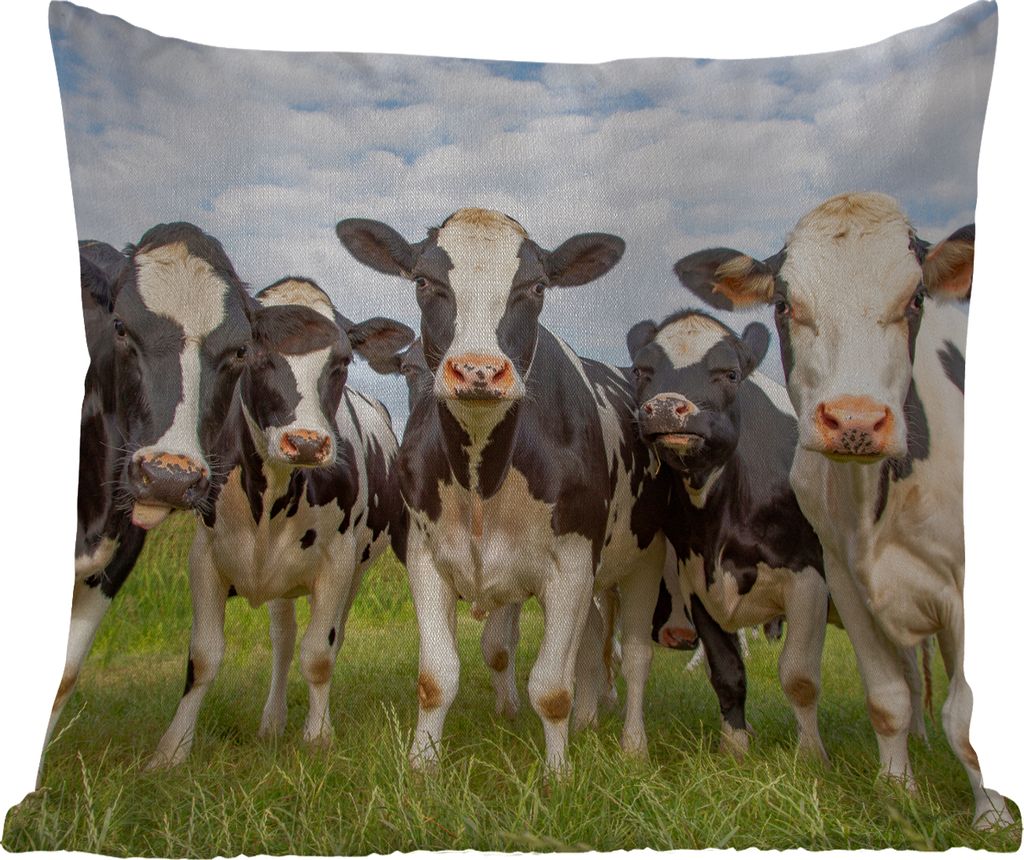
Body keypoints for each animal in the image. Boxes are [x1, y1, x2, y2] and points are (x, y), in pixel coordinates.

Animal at [146, 278, 414, 768]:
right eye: (250, 353)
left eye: (343, 361)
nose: (306, 443)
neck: (270, 497)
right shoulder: (204, 555)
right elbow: (203, 655)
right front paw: (172, 749)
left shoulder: (338, 562)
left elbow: (319, 653)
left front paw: (319, 736)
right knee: (283, 641)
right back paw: (272, 721)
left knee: (324, 638)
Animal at [336, 208, 669, 771]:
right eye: (423, 282)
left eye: (535, 287)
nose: (478, 370)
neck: (482, 476)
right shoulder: (425, 557)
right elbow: (438, 677)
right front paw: (422, 766)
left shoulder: (572, 566)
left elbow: (552, 687)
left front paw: (558, 775)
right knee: (590, 645)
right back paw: (587, 721)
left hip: (644, 558)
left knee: (636, 656)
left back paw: (633, 744)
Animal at [628, 311, 830, 760]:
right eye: (641, 371)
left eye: (730, 374)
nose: (664, 407)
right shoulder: (698, 581)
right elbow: (726, 671)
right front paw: (735, 746)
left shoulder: (809, 577)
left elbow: (799, 675)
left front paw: (812, 757)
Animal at [674, 191, 1012, 829]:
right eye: (785, 304)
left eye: (915, 299)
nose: (855, 420)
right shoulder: (846, 580)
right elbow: (886, 697)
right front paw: (897, 791)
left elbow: (968, 714)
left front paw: (992, 817)